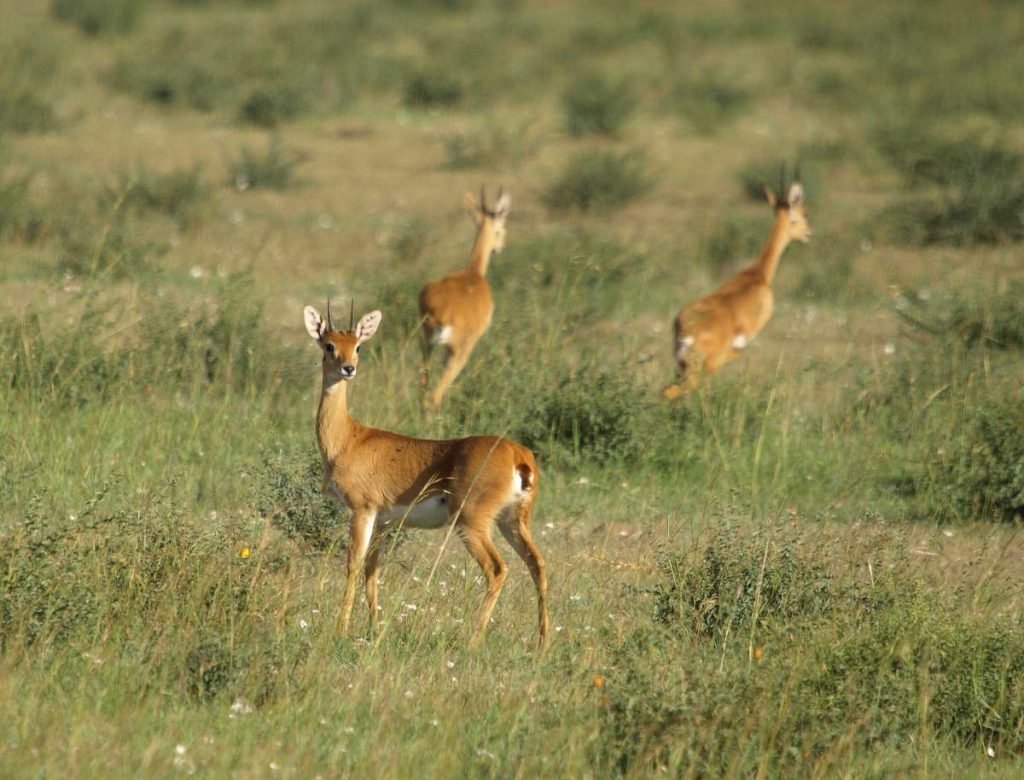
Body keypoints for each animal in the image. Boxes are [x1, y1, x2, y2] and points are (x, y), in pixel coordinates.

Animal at [301, 300, 548, 642]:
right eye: (329, 345)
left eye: (358, 346)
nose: (348, 368)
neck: (348, 438)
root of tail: (517, 455)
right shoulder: (384, 520)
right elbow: (372, 569)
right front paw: (374, 627)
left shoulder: (362, 511)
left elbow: (353, 564)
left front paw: (341, 628)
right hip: (512, 521)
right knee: (537, 564)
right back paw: (543, 642)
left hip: (471, 523)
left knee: (498, 569)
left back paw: (474, 639)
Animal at [417, 187, 509, 407]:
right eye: (501, 227)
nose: (499, 247)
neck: (473, 272)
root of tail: (439, 311)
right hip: (459, 351)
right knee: (435, 395)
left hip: (427, 344)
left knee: (423, 384)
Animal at [663, 176, 815, 395]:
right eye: (804, 212)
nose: (808, 233)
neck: (757, 275)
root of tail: (684, 325)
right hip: (698, 368)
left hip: (684, 366)